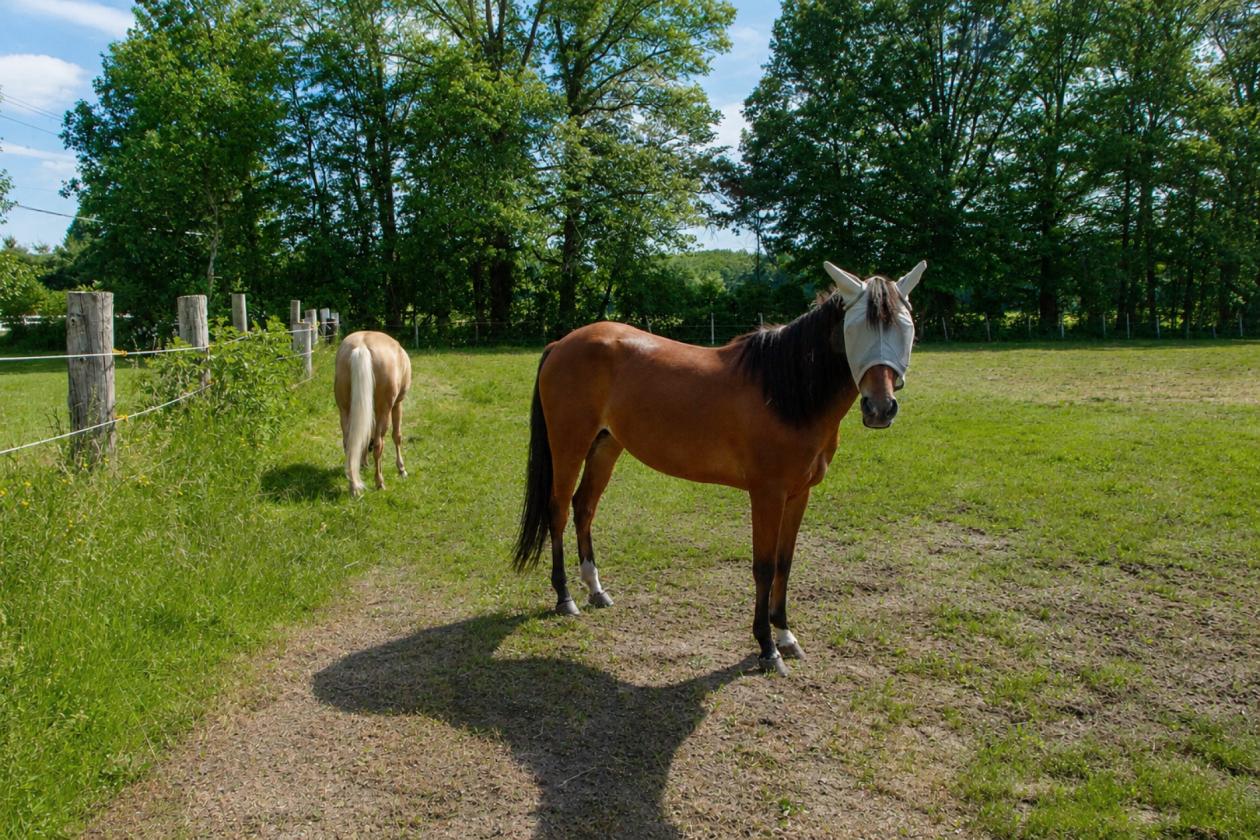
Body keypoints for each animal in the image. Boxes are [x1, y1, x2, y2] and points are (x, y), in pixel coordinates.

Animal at [334, 331, 412, 497]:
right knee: (378, 444)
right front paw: (401, 470)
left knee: (348, 443)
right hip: (385, 411)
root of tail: (361, 347)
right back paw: (379, 482)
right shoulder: (398, 405)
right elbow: (397, 436)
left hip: (344, 410)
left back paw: (353, 486)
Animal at [512, 260, 926, 675]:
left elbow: (785, 563)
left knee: (584, 507)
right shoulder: (767, 495)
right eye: (855, 328)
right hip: (569, 444)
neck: (784, 392)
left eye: (906, 326)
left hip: (606, 445)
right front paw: (767, 648)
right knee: (558, 510)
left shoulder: (798, 494)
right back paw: (565, 597)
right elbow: (764, 566)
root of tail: (562, 344)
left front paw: (786, 635)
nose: (880, 408)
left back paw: (596, 589)